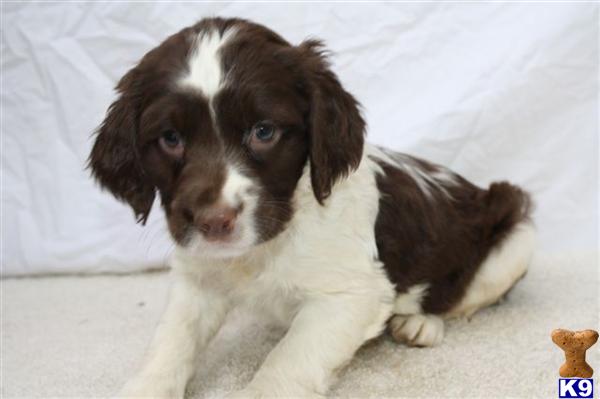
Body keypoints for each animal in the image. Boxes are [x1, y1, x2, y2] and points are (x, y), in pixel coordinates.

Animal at [89, 17, 536, 398]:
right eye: (170, 138)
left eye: (264, 132)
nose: (215, 222)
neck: (267, 246)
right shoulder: (197, 275)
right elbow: (171, 338)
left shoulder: (351, 293)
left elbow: (287, 360)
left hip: (515, 235)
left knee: (462, 297)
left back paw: (420, 323)